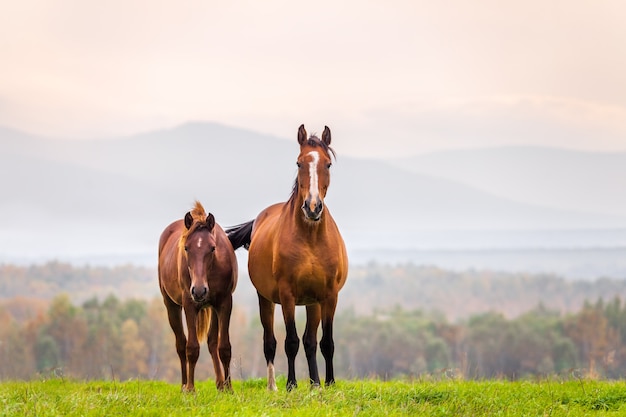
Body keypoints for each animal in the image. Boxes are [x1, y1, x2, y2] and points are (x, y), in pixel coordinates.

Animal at [157, 201, 238, 390]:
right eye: (186, 248)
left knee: (212, 342)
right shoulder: (189, 305)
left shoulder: (225, 303)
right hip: (171, 305)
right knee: (181, 344)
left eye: (213, 248)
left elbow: (224, 347)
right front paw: (191, 390)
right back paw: (184, 385)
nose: (199, 291)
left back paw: (220, 384)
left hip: (213, 308)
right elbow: (192, 348)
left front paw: (229, 388)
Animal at [228, 124, 348, 390]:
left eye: (328, 164)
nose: (312, 207)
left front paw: (329, 383)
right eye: (299, 163)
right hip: (266, 299)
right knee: (270, 342)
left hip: (313, 303)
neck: (311, 239)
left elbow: (326, 342)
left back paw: (315, 383)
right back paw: (273, 386)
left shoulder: (329, 296)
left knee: (310, 341)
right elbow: (290, 341)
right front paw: (291, 385)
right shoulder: (287, 295)